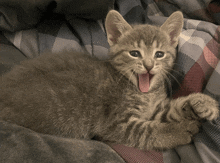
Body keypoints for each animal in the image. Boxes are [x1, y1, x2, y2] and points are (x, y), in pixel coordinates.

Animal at [0, 10, 218, 150]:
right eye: (134, 53)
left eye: (159, 54)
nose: (148, 65)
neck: (144, 93)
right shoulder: (116, 124)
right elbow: (148, 132)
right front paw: (180, 130)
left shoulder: (155, 109)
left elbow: (174, 108)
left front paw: (204, 103)